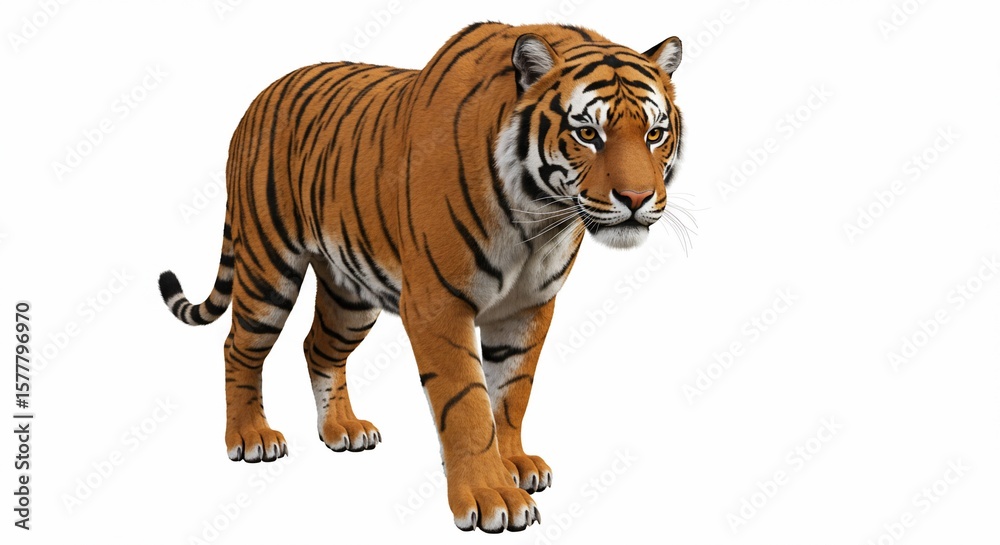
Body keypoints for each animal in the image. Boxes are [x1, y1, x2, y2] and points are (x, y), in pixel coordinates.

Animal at [159, 22, 682, 532]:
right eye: (588, 133)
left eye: (655, 134)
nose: (637, 198)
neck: (539, 218)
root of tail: (260, 95)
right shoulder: (439, 303)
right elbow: (467, 403)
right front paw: (491, 495)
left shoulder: (528, 308)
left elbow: (512, 392)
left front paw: (513, 463)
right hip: (268, 266)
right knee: (239, 347)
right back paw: (250, 437)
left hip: (351, 296)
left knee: (317, 346)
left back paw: (341, 428)